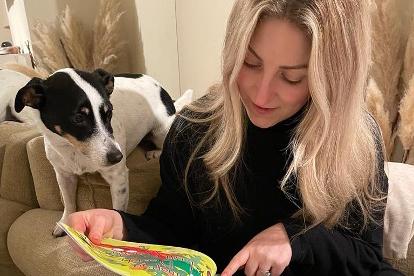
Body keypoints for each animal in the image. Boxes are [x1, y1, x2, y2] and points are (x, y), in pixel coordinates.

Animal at [1, 68, 192, 236]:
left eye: (109, 113)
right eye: (78, 118)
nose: (118, 157)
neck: (75, 150)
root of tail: (161, 88)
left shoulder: (118, 178)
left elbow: (117, 211)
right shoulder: (63, 175)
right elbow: (68, 202)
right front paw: (64, 222)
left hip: (161, 131)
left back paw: (155, 151)